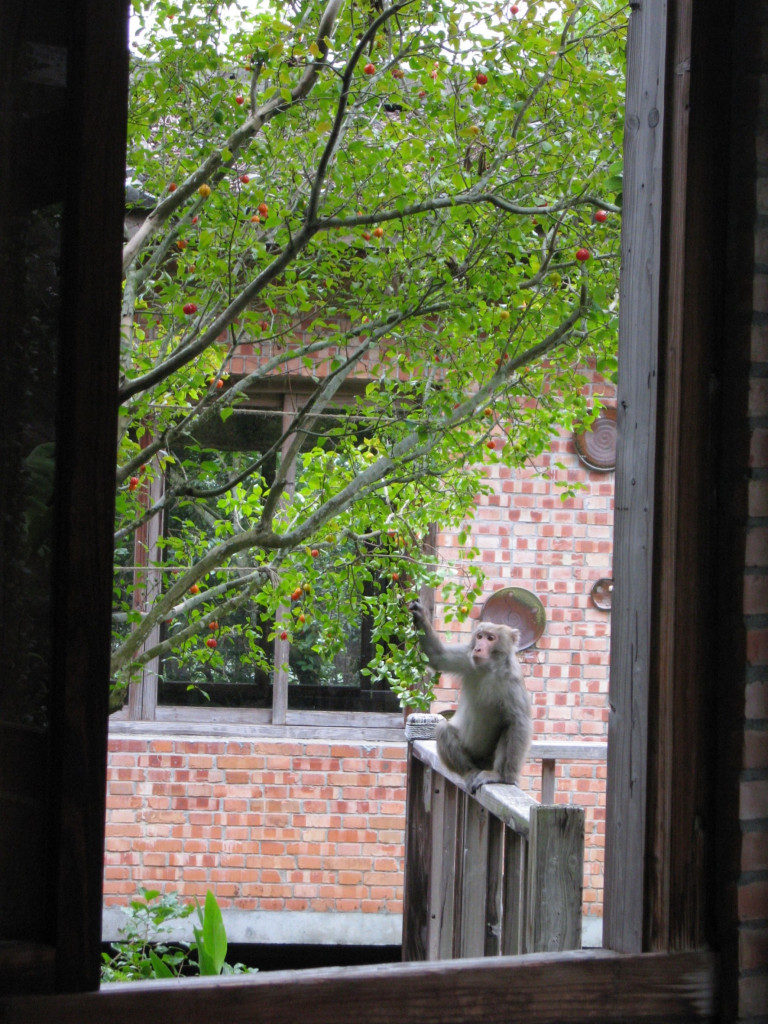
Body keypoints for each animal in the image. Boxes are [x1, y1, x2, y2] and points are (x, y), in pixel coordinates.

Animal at [409, 598, 536, 790]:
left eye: (491, 638)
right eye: (479, 636)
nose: (478, 648)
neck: (489, 668)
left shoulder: (512, 680)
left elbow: (519, 721)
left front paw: (508, 777)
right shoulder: (467, 658)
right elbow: (438, 657)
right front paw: (420, 615)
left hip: (488, 759)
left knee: (507, 729)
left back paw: (495, 774)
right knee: (443, 730)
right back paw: (469, 771)